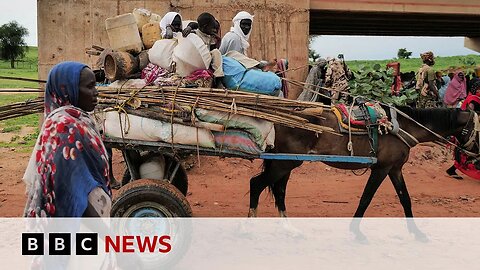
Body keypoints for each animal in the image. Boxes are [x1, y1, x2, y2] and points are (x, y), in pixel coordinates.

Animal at [248, 106, 476, 239]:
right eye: (479, 130)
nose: (474, 157)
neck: (401, 127)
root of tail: (277, 119)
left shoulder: (395, 169)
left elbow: (406, 199)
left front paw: (416, 232)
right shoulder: (382, 168)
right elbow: (366, 198)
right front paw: (356, 231)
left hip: (286, 163)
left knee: (279, 191)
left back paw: (289, 228)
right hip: (284, 164)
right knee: (256, 184)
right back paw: (248, 228)